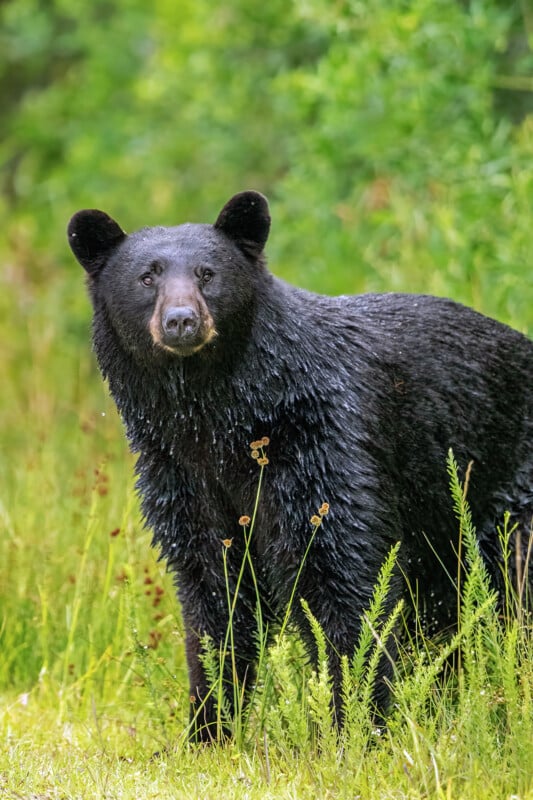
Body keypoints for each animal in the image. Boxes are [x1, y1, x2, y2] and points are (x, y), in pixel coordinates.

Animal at [68, 190, 533, 741]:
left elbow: (340, 572)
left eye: (207, 273)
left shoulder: (321, 444)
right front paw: (207, 727)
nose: (182, 320)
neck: (222, 418)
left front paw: (358, 721)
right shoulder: (180, 473)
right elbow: (216, 591)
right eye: (147, 277)